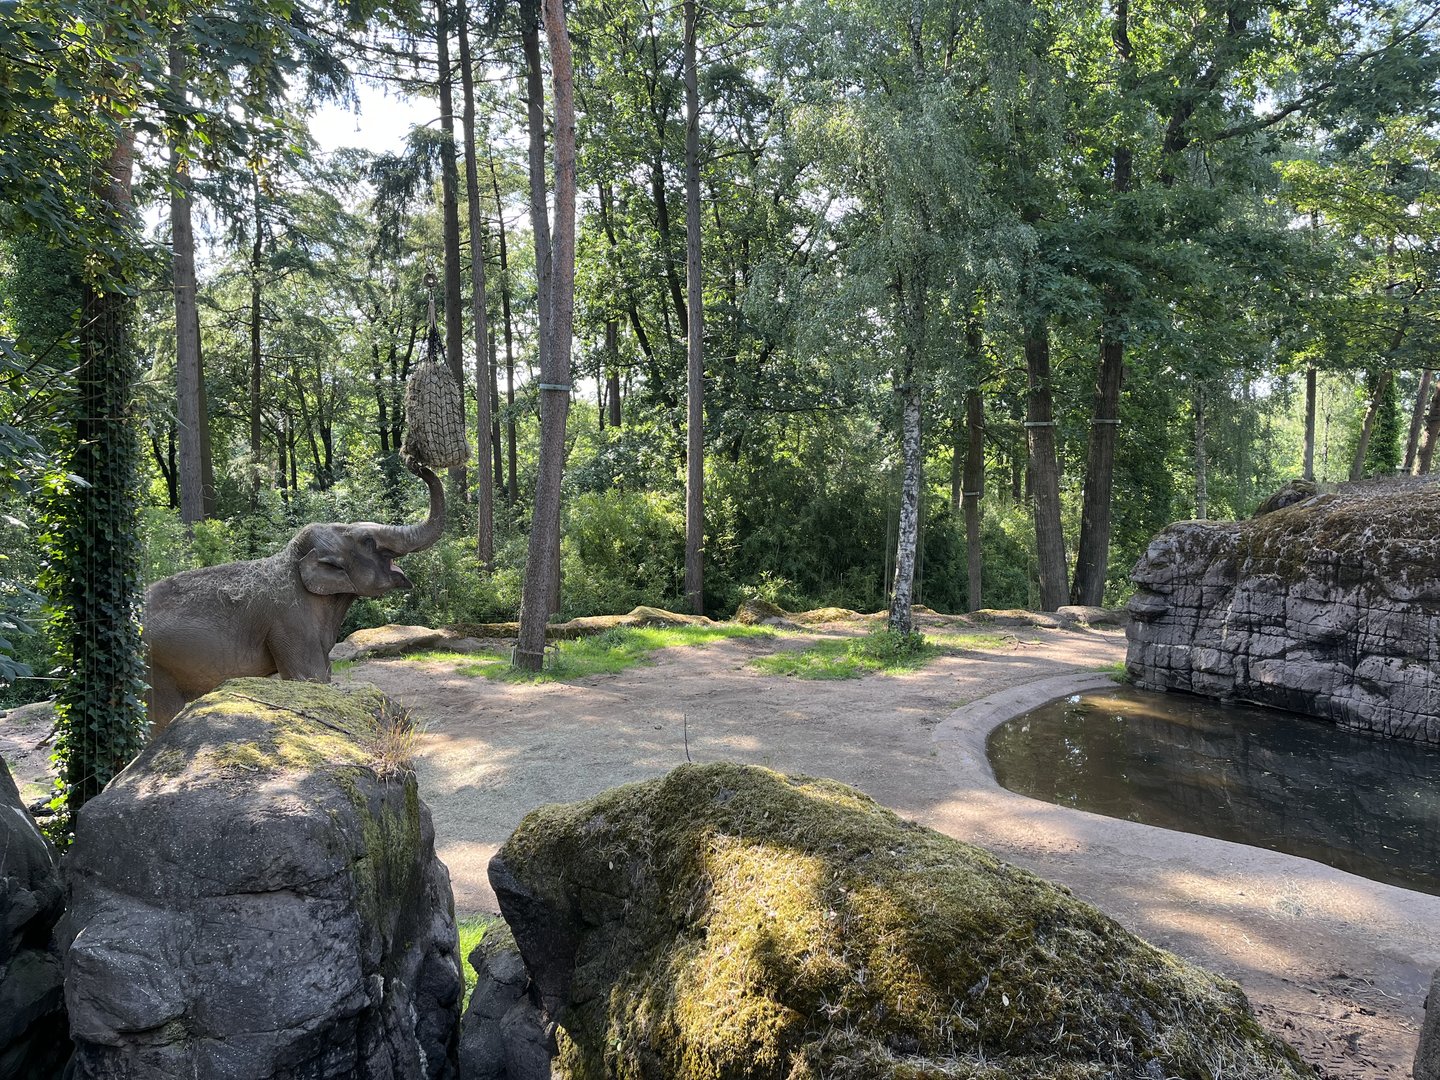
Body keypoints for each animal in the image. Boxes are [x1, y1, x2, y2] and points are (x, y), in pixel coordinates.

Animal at [144, 466, 445, 731]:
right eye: (368, 541)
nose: (416, 464)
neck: (293, 559)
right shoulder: (290, 623)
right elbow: (308, 678)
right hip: (154, 672)